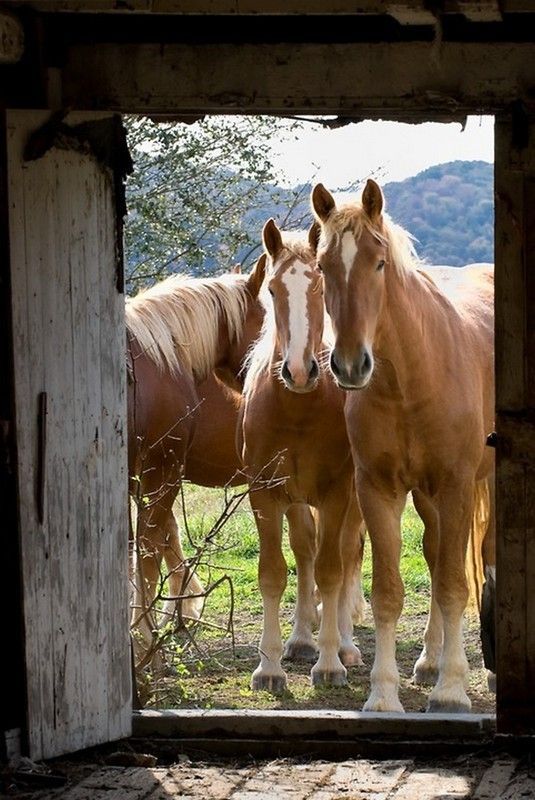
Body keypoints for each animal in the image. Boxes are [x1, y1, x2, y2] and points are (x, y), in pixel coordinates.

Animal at [240, 220, 368, 692]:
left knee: (347, 556)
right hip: (297, 501)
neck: (296, 409)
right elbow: (275, 572)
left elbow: (332, 571)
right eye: (273, 289)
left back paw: (345, 645)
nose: (298, 371)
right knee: (305, 551)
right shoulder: (266, 494)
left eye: (320, 286)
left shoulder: (334, 495)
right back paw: (300, 640)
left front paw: (330, 663)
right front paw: (270, 666)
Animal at [312, 180, 496, 712]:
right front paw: (382, 694)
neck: (412, 379)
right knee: (435, 555)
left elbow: (455, 585)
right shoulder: (379, 489)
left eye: (378, 263)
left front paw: (452, 691)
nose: (350, 365)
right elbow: (389, 593)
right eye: (323, 267)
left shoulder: (456, 486)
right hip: (426, 497)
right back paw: (430, 660)